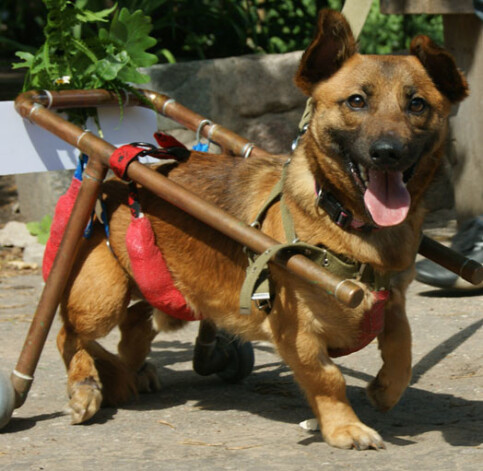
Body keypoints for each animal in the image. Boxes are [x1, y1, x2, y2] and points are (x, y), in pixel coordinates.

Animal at [55, 9, 468, 448]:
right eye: (357, 101)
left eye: (417, 104)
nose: (388, 152)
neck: (349, 224)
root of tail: (117, 182)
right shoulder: (296, 332)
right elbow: (328, 379)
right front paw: (344, 427)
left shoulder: (393, 302)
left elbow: (403, 347)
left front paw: (385, 389)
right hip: (102, 298)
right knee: (70, 334)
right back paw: (86, 384)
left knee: (134, 326)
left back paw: (130, 373)